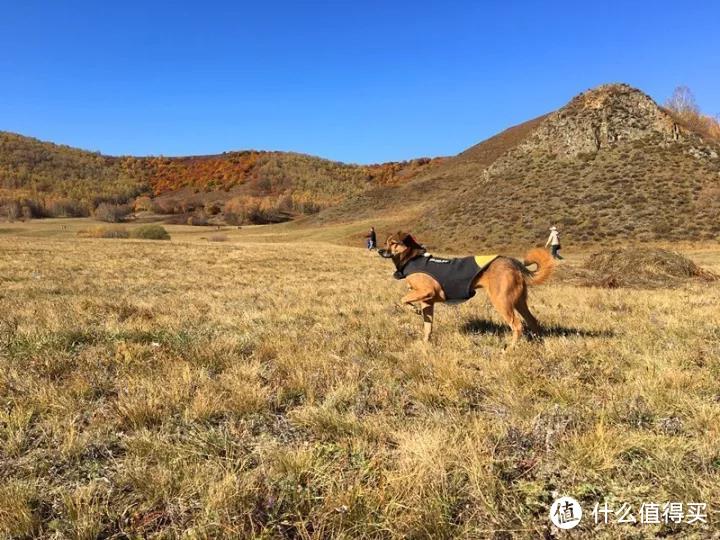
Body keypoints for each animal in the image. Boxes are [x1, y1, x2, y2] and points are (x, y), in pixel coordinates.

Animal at [380, 231, 556, 342]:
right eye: (385, 243)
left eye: (393, 243)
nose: (380, 250)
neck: (412, 258)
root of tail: (512, 261)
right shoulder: (427, 302)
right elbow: (427, 327)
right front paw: (425, 344)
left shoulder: (427, 291)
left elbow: (403, 299)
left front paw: (414, 310)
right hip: (518, 301)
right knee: (533, 321)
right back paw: (539, 345)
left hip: (502, 301)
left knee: (518, 326)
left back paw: (508, 351)